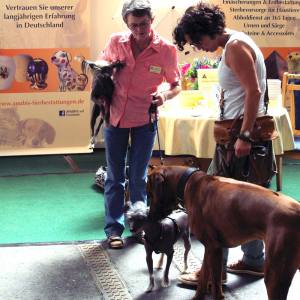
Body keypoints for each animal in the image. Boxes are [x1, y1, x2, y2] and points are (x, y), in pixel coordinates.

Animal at [148, 165, 300, 300]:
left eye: (149, 194)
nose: (149, 216)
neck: (188, 181)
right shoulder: (212, 248)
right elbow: (204, 276)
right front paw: (197, 297)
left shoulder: (214, 249)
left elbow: (215, 286)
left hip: (275, 277)